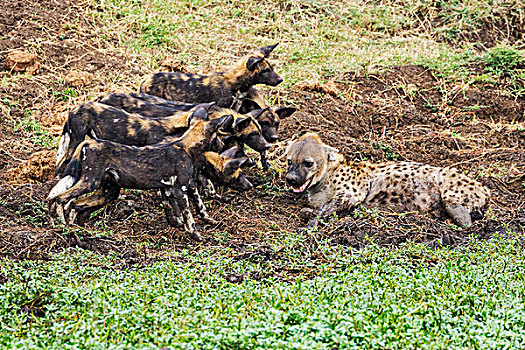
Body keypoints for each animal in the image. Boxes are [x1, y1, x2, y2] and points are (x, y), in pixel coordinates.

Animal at [48, 115, 232, 241]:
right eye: (218, 135)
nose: (223, 144)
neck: (186, 147)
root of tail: (88, 143)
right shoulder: (180, 189)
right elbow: (189, 216)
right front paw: (195, 235)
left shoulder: (168, 188)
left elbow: (178, 210)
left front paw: (180, 224)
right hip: (90, 182)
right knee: (61, 198)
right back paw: (64, 227)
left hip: (106, 191)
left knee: (73, 204)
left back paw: (72, 228)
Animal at [284, 133, 490, 228]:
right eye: (289, 161)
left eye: (308, 163)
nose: (291, 179)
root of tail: (486, 191)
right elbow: (321, 206)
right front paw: (308, 212)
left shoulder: (353, 192)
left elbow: (327, 207)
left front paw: (310, 221)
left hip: (451, 190)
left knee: (464, 219)